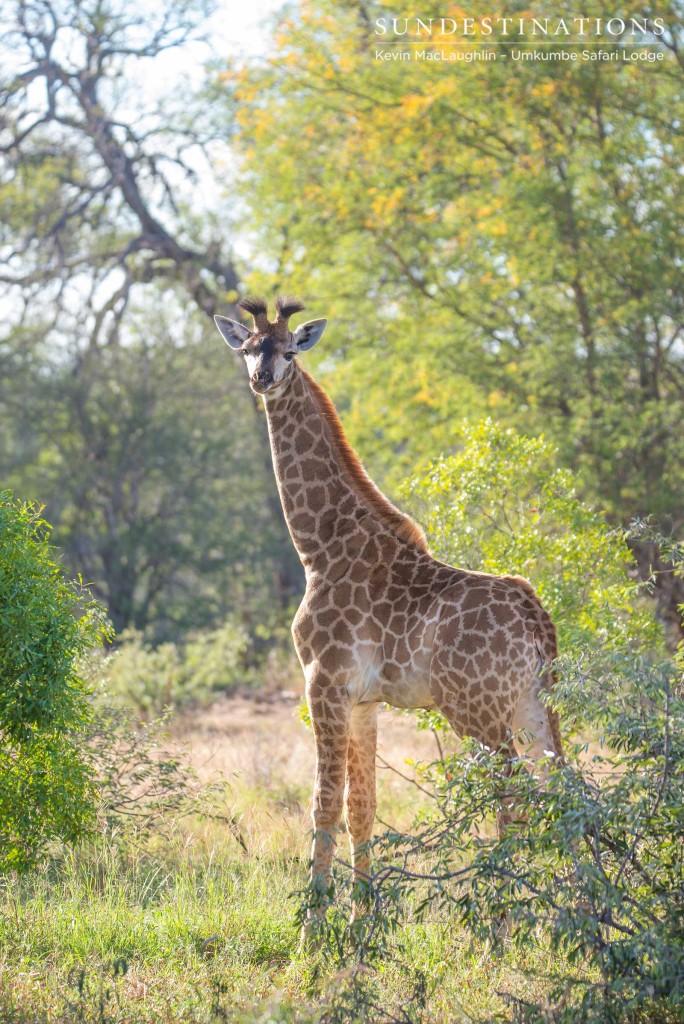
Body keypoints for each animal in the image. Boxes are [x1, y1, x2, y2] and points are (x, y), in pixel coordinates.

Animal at [214, 294, 561, 937]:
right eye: (248, 347)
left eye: (289, 350)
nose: (262, 379)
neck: (319, 545)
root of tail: (539, 621)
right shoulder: (363, 700)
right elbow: (363, 807)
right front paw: (361, 923)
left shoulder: (322, 681)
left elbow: (323, 801)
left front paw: (311, 930)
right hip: (533, 702)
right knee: (564, 784)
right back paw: (576, 911)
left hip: (477, 710)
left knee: (513, 792)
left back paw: (505, 923)